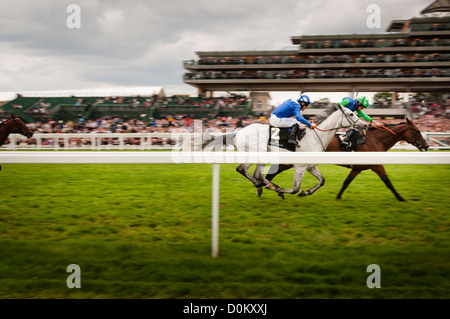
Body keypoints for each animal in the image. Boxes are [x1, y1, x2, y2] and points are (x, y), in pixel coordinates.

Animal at [234, 105, 368, 199]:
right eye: (351, 113)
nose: (365, 125)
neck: (316, 137)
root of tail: (238, 133)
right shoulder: (300, 167)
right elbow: (295, 189)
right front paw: (281, 191)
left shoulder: (310, 167)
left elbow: (322, 181)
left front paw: (305, 192)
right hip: (254, 155)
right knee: (242, 169)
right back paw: (264, 185)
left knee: (258, 175)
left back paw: (263, 185)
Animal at [258, 117, 428, 202]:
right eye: (417, 131)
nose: (426, 146)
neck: (376, 140)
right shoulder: (377, 165)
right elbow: (388, 182)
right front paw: (400, 198)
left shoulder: (357, 168)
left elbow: (346, 182)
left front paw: (338, 197)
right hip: (289, 163)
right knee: (271, 174)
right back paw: (264, 188)